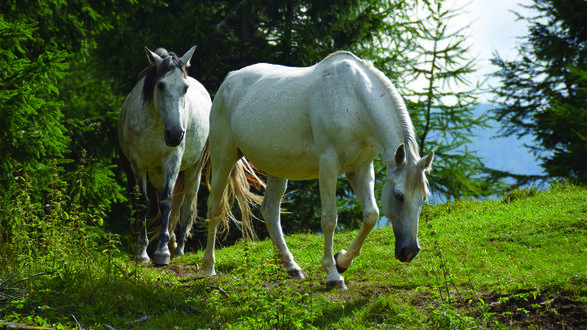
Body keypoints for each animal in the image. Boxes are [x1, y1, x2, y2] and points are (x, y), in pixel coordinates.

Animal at [119, 45, 211, 266]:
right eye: (160, 85)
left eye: (185, 87)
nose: (176, 134)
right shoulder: (138, 165)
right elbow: (144, 204)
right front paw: (142, 253)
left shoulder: (173, 162)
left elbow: (167, 201)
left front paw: (162, 252)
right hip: (155, 174)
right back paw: (171, 241)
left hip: (194, 170)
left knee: (186, 208)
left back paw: (178, 249)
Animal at [204, 51, 434, 288]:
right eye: (398, 196)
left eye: (424, 198)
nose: (409, 251)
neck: (354, 99)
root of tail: (230, 79)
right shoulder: (328, 167)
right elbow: (329, 220)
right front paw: (333, 274)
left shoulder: (360, 169)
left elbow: (371, 215)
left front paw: (342, 261)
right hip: (223, 159)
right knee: (214, 206)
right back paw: (209, 268)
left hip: (277, 168)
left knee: (270, 210)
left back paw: (291, 266)